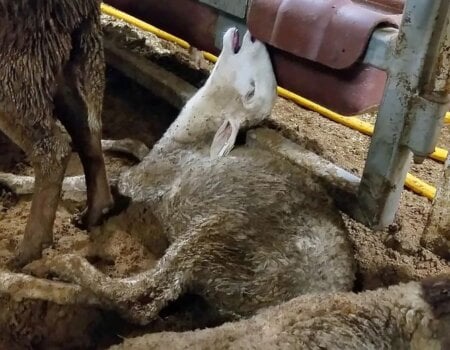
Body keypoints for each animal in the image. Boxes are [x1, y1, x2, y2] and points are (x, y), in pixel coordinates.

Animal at [0, 0, 112, 264]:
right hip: (62, 53)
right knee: (87, 128)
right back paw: (94, 213)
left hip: (21, 56)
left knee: (53, 148)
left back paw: (27, 251)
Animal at [29, 27, 356, 326]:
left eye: (251, 92)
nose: (254, 36)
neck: (193, 138)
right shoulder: (153, 157)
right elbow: (133, 144)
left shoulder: (147, 178)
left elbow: (97, 181)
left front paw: (21, 181)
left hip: (218, 235)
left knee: (141, 298)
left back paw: (53, 265)